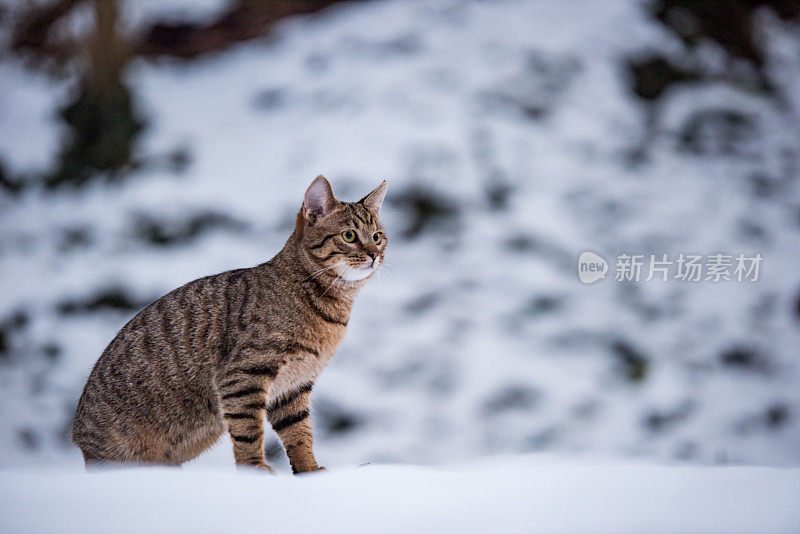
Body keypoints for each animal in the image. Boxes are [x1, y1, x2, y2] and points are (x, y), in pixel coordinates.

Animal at [70, 176, 390, 474]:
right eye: (349, 235)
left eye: (377, 236)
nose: (375, 254)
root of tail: (80, 439)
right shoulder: (243, 374)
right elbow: (249, 430)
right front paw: (255, 468)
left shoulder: (293, 386)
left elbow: (299, 432)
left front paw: (309, 470)